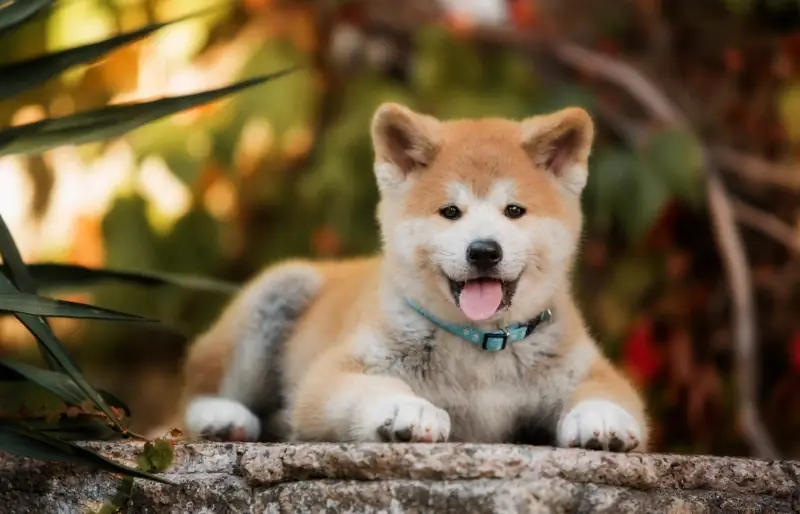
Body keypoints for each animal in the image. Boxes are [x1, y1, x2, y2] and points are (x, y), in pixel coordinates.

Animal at [169, 102, 648, 450]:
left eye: (514, 210)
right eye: (450, 212)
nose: (484, 251)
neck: (481, 351)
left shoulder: (589, 370)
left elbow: (605, 393)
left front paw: (601, 417)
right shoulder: (334, 373)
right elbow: (374, 387)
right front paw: (407, 411)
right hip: (278, 293)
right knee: (188, 401)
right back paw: (221, 417)